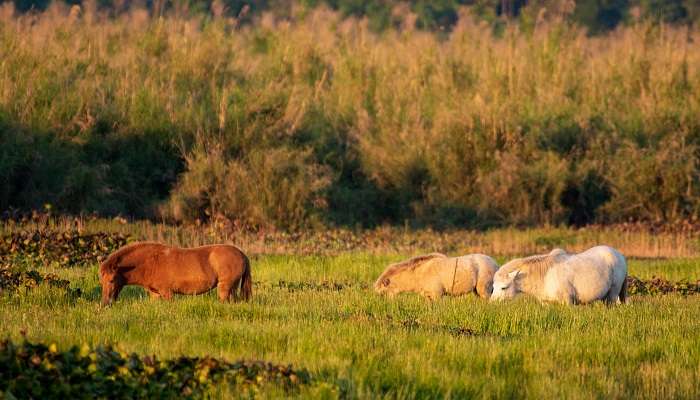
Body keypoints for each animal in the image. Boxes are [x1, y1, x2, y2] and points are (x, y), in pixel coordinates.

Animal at [98, 242, 252, 304]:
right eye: (101, 281)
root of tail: (242, 254)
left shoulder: (167, 292)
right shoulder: (155, 294)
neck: (151, 261)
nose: (106, 303)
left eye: (111, 280)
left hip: (225, 288)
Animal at [486, 245, 628, 304]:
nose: (492, 303)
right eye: (493, 287)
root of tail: (619, 255)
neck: (545, 277)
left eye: (503, 288)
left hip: (613, 293)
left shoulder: (567, 302)